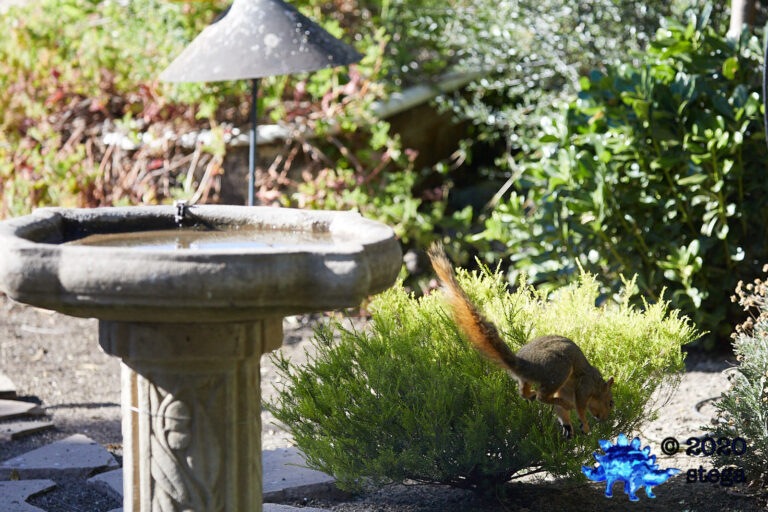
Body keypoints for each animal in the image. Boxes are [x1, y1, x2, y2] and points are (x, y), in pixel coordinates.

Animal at [427, 243, 614, 437]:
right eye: (611, 402)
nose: (604, 418)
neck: (597, 384)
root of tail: (523, 364)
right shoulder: (584, 386)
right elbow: (580, 406)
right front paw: (584, 423)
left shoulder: (565, 390)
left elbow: (562, 412)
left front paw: (568, 425)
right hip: (559, 369)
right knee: (543, 396)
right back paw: (552, 400)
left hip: (532, 379)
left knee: (525, 393)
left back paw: (531, 395)